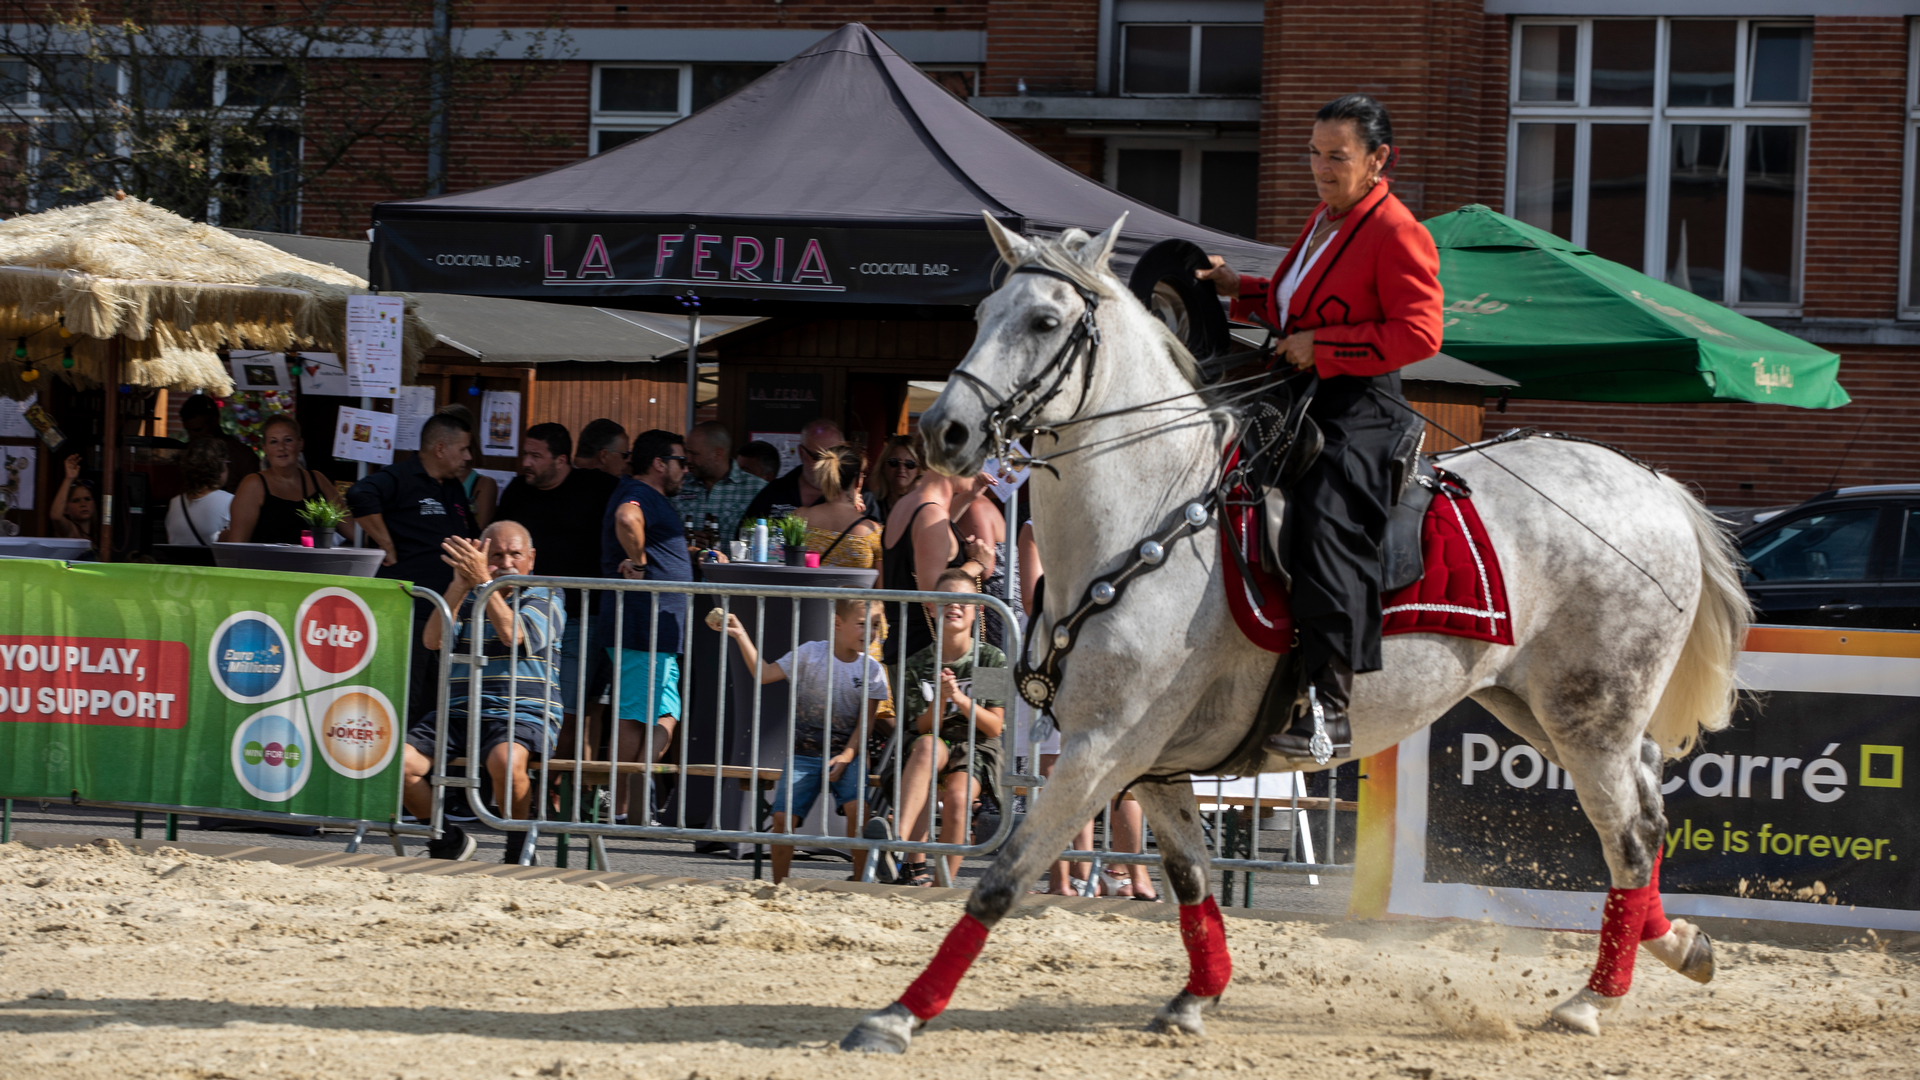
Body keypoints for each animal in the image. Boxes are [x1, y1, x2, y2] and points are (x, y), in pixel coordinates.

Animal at [839, 214, 1748, 1052]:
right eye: (983, 310)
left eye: (1044, 321)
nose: (943, 431)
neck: (1143, 516)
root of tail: (1653, 483)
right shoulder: (1151, 761)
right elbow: (1191, 876)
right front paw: (1196, 996)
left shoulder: (1101, 748)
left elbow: (1002, 879)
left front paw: (897, 1015)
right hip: (1538, 707)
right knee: (1647, 805)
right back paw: (1679, 944)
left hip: (1588, 716)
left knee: (1627, 832)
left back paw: (1594, 998)